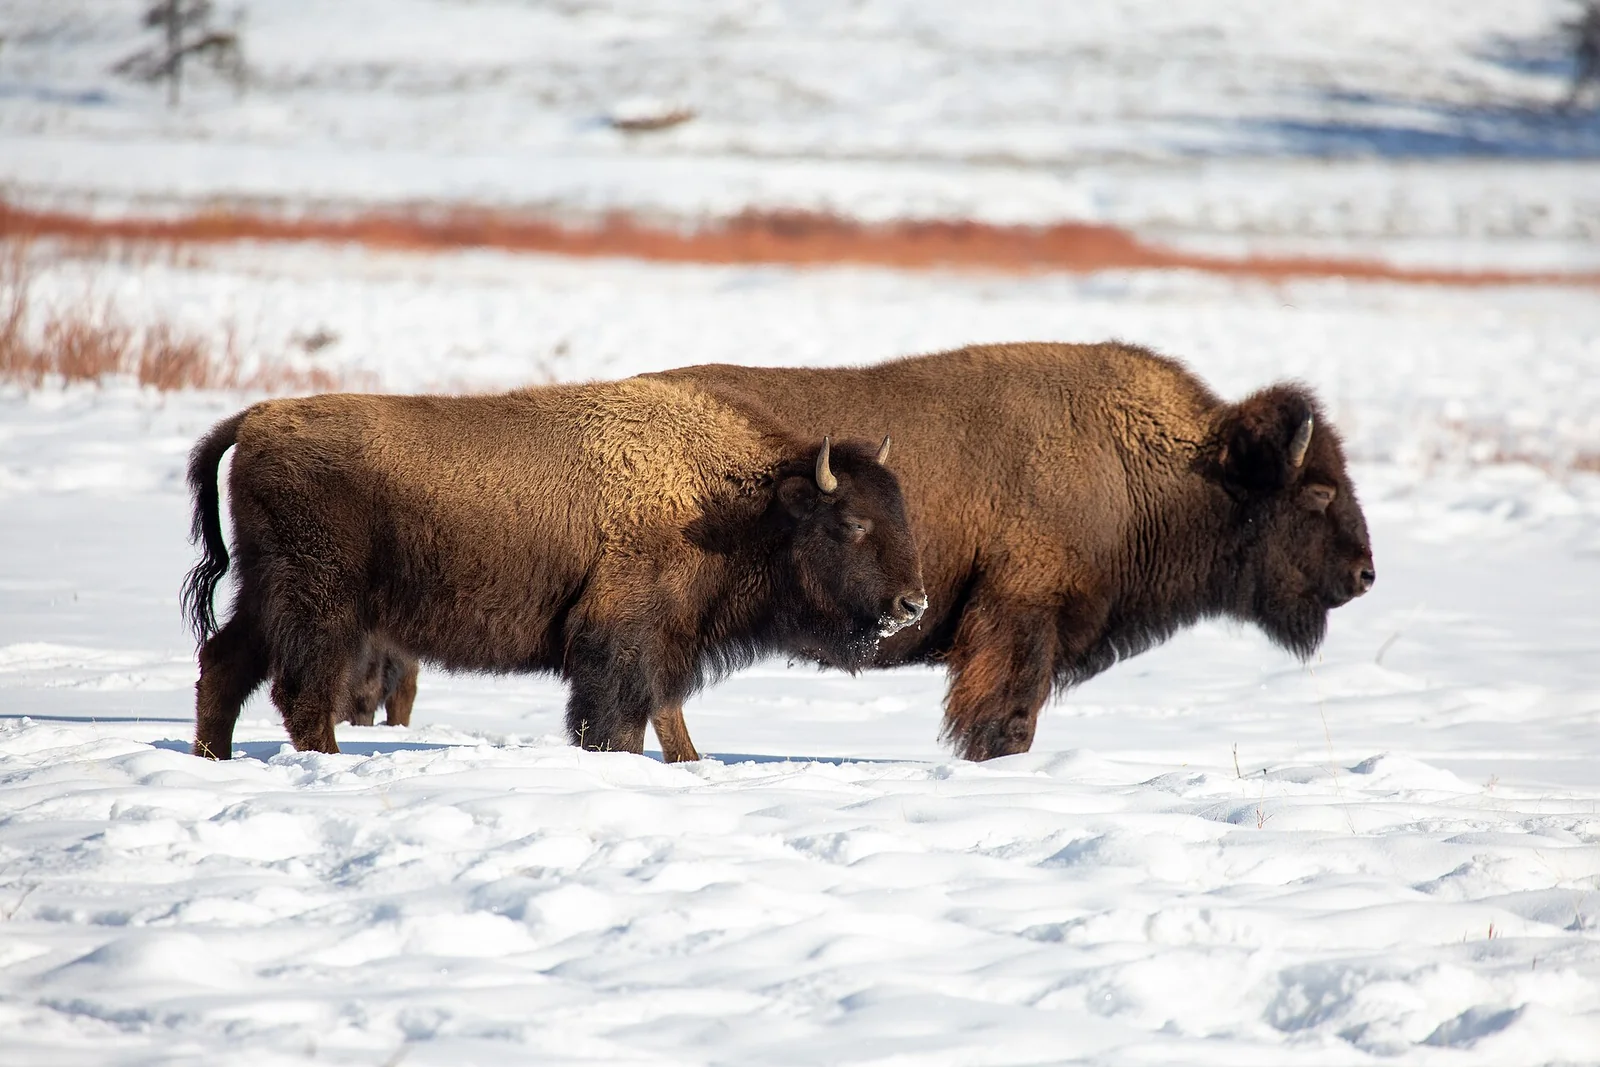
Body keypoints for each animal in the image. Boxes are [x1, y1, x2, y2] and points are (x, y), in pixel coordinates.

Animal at [182, 379, 925, 758]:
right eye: (852, 523)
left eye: (901, 511)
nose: (911, 604)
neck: (738, 501)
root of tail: (256, 420)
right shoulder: (620, 643)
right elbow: (616, 723)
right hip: (319, 601)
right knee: (300, 690)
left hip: (267, 595)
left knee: (225, 665)